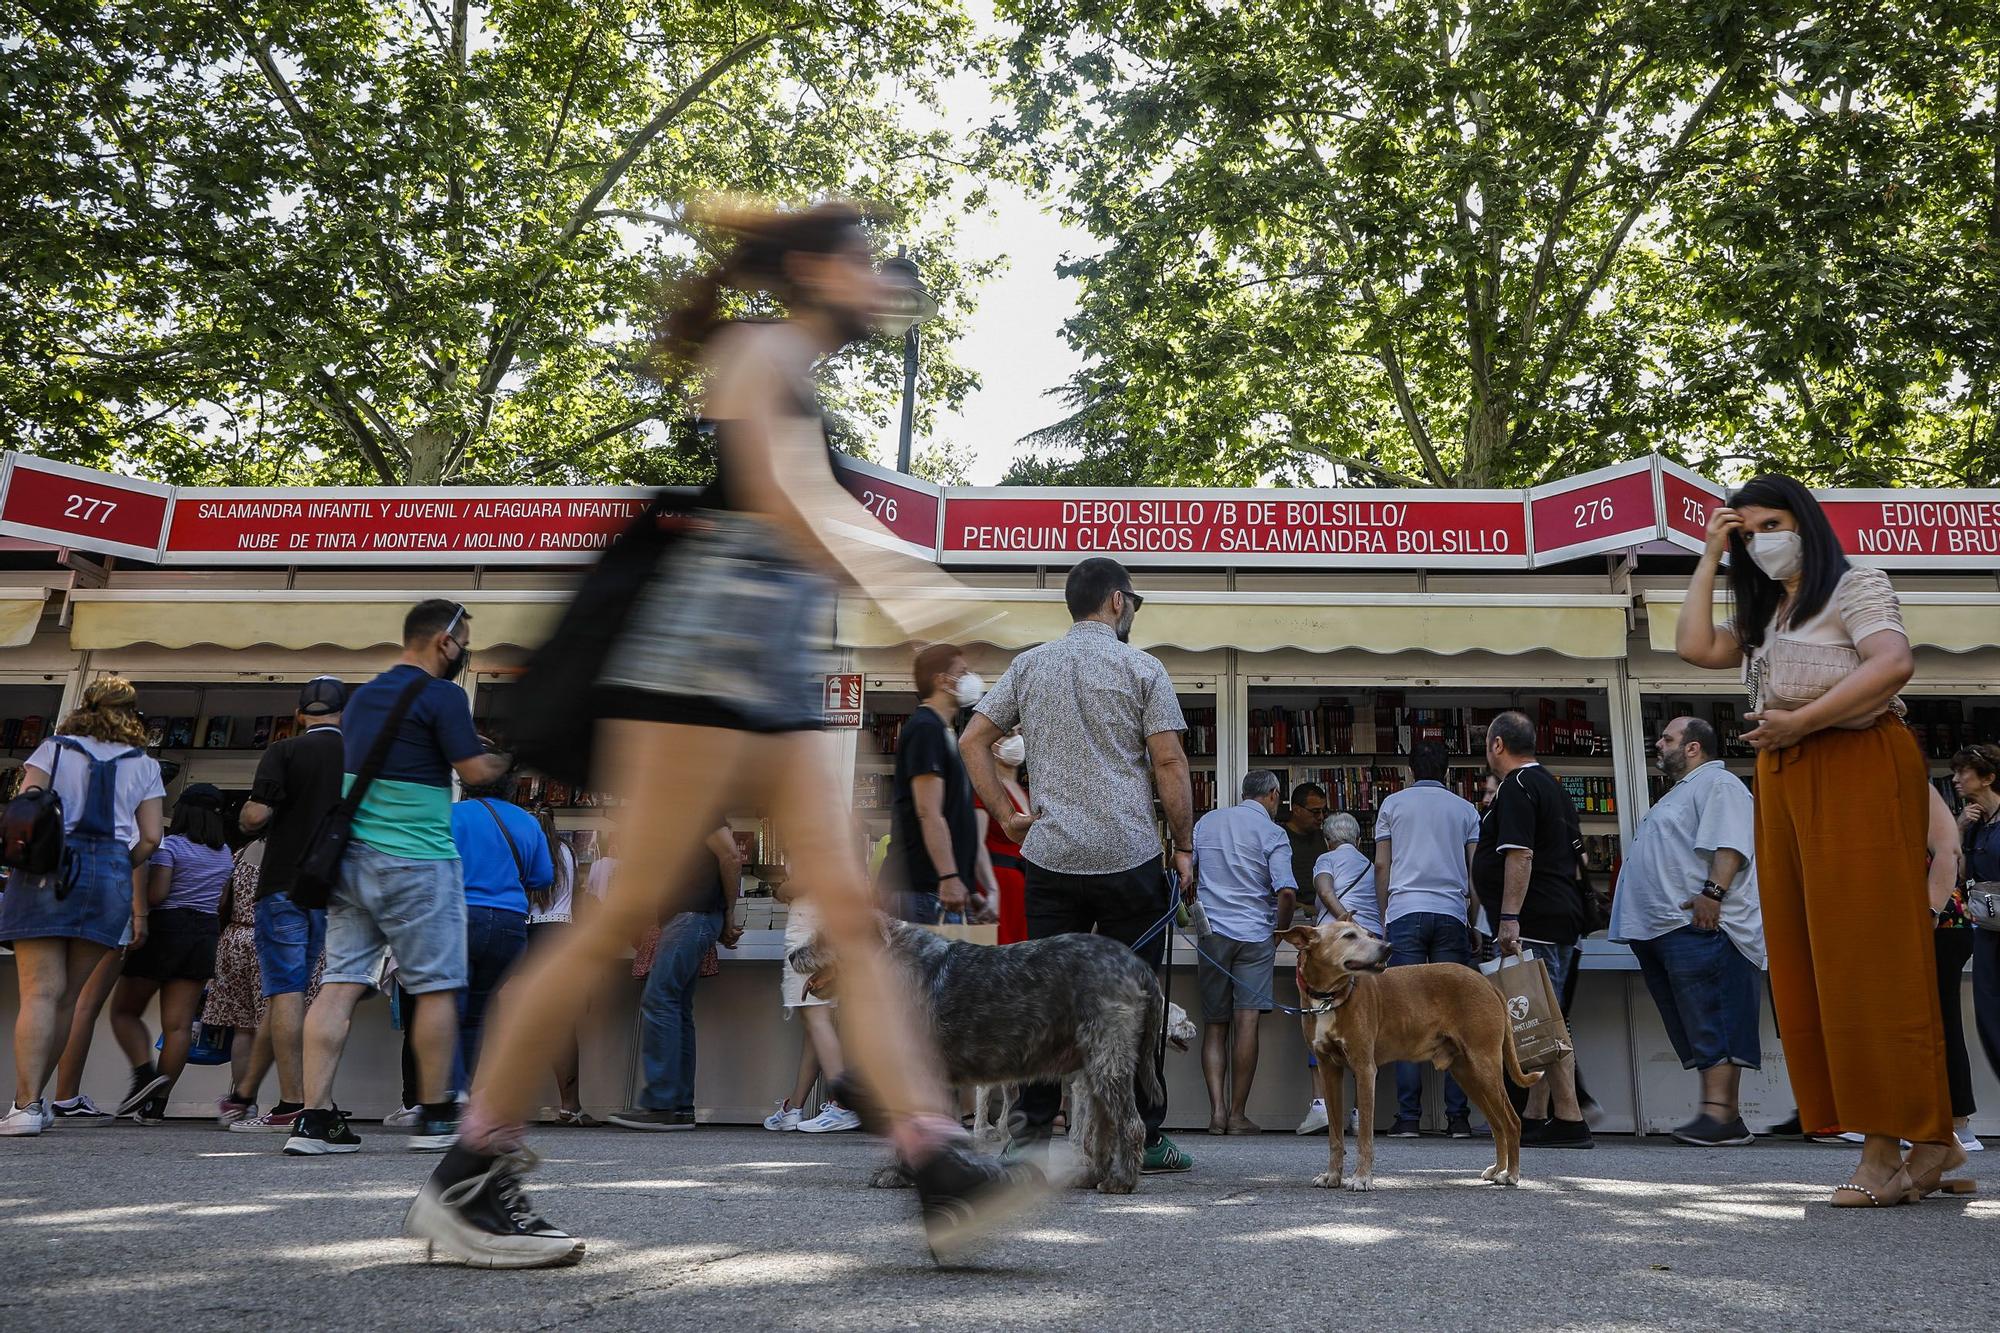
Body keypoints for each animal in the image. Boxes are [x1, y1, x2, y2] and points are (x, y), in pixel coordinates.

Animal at [792, 920, 1168, 1184]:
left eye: (826, 936)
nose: (793, 954)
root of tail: (1137, 964)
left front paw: (902, 1175)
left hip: (1108, 1059)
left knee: (1130, 1125)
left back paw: (1121, 1181)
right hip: (1096, 1067)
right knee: (1105, 1127)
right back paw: (1094, 1176)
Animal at [1280, 912, 1544, 1184]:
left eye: (1369, 934)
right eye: (1349, 936)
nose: (1387, 948)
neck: (1329, 998)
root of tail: (1488, 984)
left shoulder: (1364, 1069)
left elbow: (1365, 1136)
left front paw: (1362, 1178)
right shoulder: (1328, 1070)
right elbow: (1335, 1135)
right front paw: (1333, 1176)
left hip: (1484, 1067)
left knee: (1511, 1122)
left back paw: (1511, 1173)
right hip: (1468, 1074)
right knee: (1498, 1124)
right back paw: (1499, 1168)